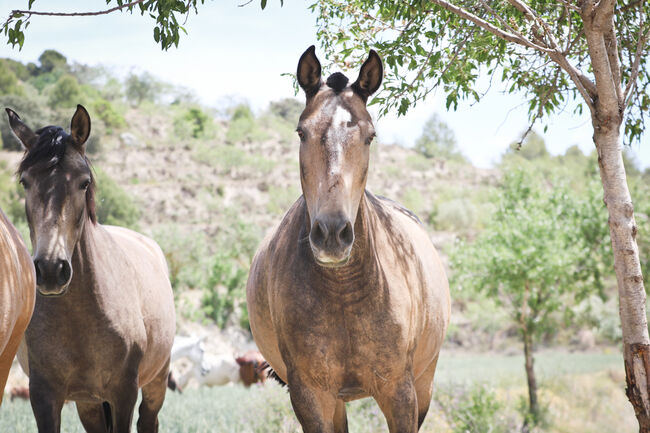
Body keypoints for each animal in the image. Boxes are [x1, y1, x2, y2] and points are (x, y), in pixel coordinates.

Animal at [5, 105, 176, 432]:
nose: (51, 269)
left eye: (83, 182)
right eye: (25, 182)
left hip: (156, 383)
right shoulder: (44, 396)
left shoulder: (124, 393)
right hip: (89, 404)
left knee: (149, 420)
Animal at [246, 47, 448, 432]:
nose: (332, 234)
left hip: (425, 381)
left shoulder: (401, 392)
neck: (345, 292)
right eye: (302, 132)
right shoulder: (310, 396)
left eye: (370, 135)